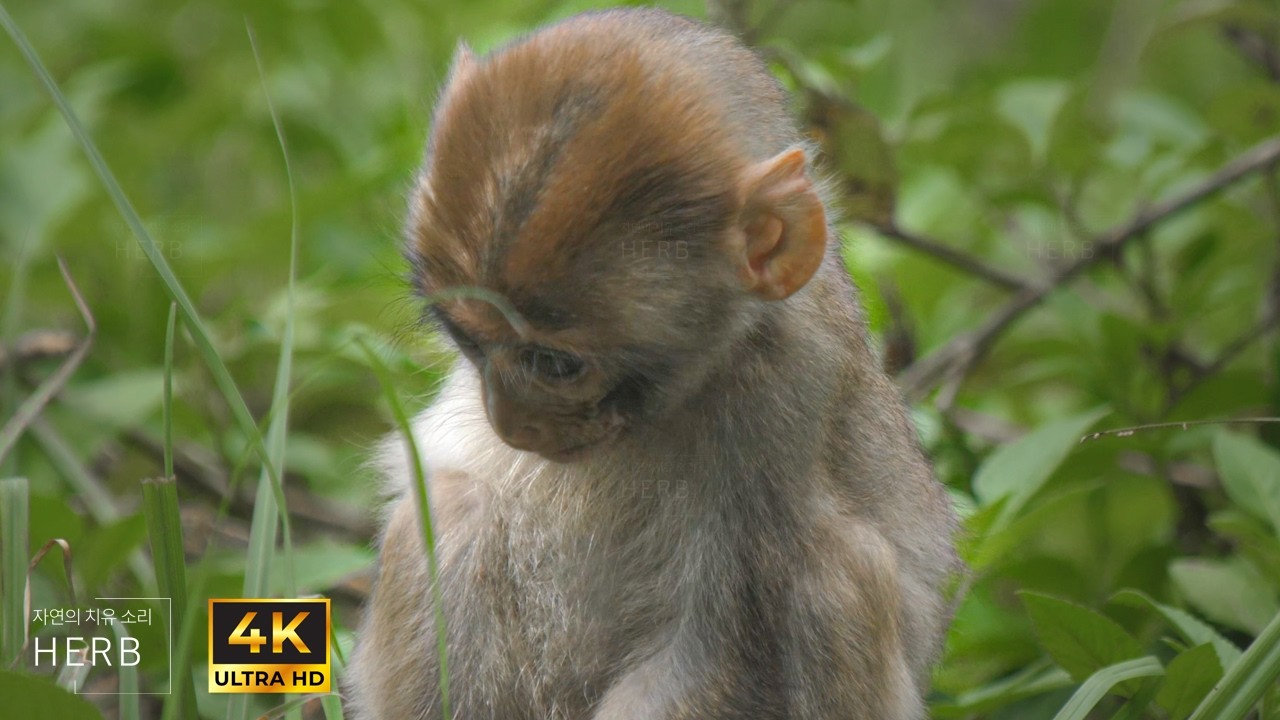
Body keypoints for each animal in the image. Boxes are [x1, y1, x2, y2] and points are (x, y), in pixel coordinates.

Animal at [347, 7, 959, 719]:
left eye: (554, 364)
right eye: (469, 341)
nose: (511, 422)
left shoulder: (774, 399)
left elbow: (713, 648)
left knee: (836, 573)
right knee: (450, 505)